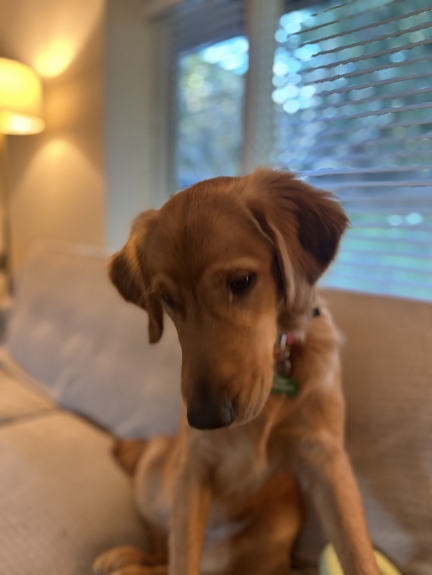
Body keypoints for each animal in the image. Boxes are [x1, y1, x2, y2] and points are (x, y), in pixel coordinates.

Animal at [93, 169, 379, 575]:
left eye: (242, 281)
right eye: (167, 299)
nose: (205, 418)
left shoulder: (326, 459)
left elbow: (357, 550)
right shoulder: (193, 467)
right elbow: (181, 559)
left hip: (275, 526)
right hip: (154, 473)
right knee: (162, 547)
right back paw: (127, 559)